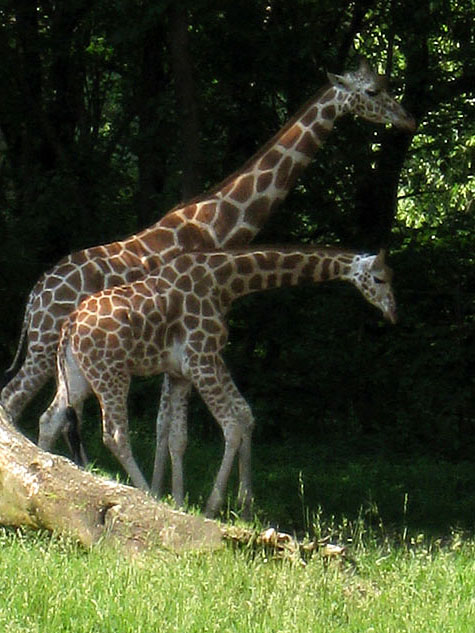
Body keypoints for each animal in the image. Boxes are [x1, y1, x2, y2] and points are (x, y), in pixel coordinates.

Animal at [0, 59, 414, 434]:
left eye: (386, 86)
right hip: (46, 347)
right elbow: (170, 427)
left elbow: (168, 426)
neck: (217, 221)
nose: (407, 120)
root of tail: (34, 297)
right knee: (13, 402)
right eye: (372, 92)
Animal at [37, 244, 396, 516]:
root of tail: (69, 325)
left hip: (79, 376)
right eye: (379, 278)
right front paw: (212, 505)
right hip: (112, 373)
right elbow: (233, 424)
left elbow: (188, 434)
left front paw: (219, 504)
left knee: (50, 417)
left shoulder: (184, 371)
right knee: (114, 434)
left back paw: (45, 472)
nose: (393, 313)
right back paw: (147, 496)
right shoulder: (201, 359)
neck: (225, 282)